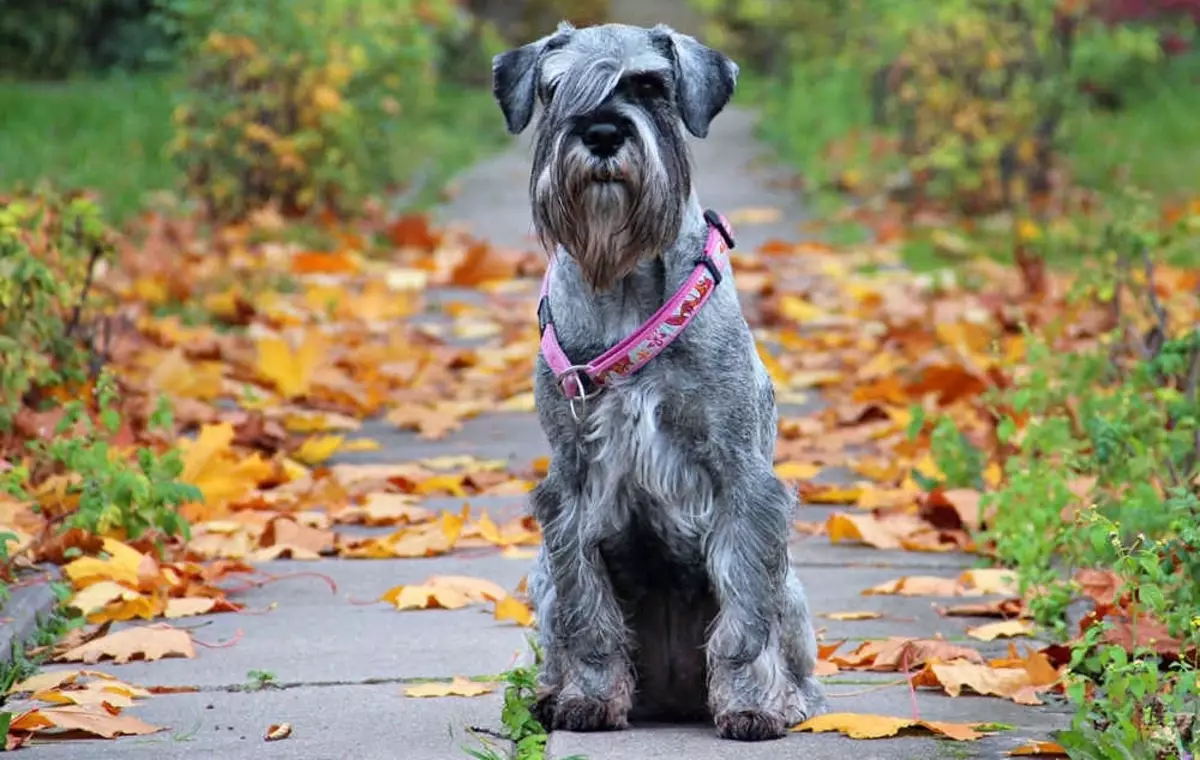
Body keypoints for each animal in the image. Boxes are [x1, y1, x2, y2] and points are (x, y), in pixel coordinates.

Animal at [489, 20, 825, 739]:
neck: (623, 282)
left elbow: (744, 614)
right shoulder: (570, 488)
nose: (601, 133)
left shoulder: (741, 477)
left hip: (792, 590)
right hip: (539, 575)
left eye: (649, 86)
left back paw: (790, 698)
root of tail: (671, 697)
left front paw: (751, 704)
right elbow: (587, 613)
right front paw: (589, 697)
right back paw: (549, 694)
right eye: (555, 88)